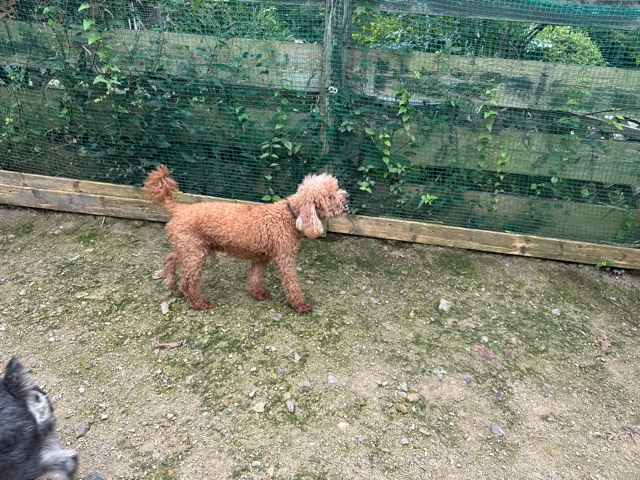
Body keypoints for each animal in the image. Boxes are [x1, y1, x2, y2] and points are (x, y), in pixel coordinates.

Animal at [144, 165, 349, 312]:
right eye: (330, 197)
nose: (347, 196)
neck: (288, 217)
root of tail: (178, 208)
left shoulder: (261, 258)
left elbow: (255, 278)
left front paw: (258, 294)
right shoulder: (284, 258)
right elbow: (292, 283)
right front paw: (300, 305)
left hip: (191, 248)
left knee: (170, 258)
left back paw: (170, 283)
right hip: (195, 253)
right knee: (187, 282)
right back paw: (199, 303)